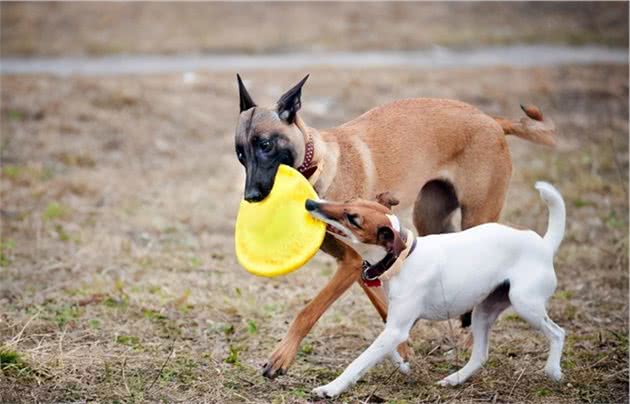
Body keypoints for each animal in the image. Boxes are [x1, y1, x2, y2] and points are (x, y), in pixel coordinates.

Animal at [233, 73, 556, 378]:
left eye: (265, 145)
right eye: (240, 153)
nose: (250, 197)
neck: (318, 168)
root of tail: (491, 120)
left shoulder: (350, 264)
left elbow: (308, 311)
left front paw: (281, 357)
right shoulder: (363, 266)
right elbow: (385, 309)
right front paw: (402, 352)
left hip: (478, 217)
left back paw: (470, 339)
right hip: (431, 219)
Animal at [306, 181, 568, 396]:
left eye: (353, 219)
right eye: (349, 200)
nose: (310, 202)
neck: (402, 259)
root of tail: (544, 245)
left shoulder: (397, 328)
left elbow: (360, 360)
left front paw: (331, 388)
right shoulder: (397, 324)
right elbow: (386, 348)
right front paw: (403, 365)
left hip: (525, 304)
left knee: (557, 333)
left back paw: (553, 371)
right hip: (483, 312)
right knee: (480, 355)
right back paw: (455, 379)